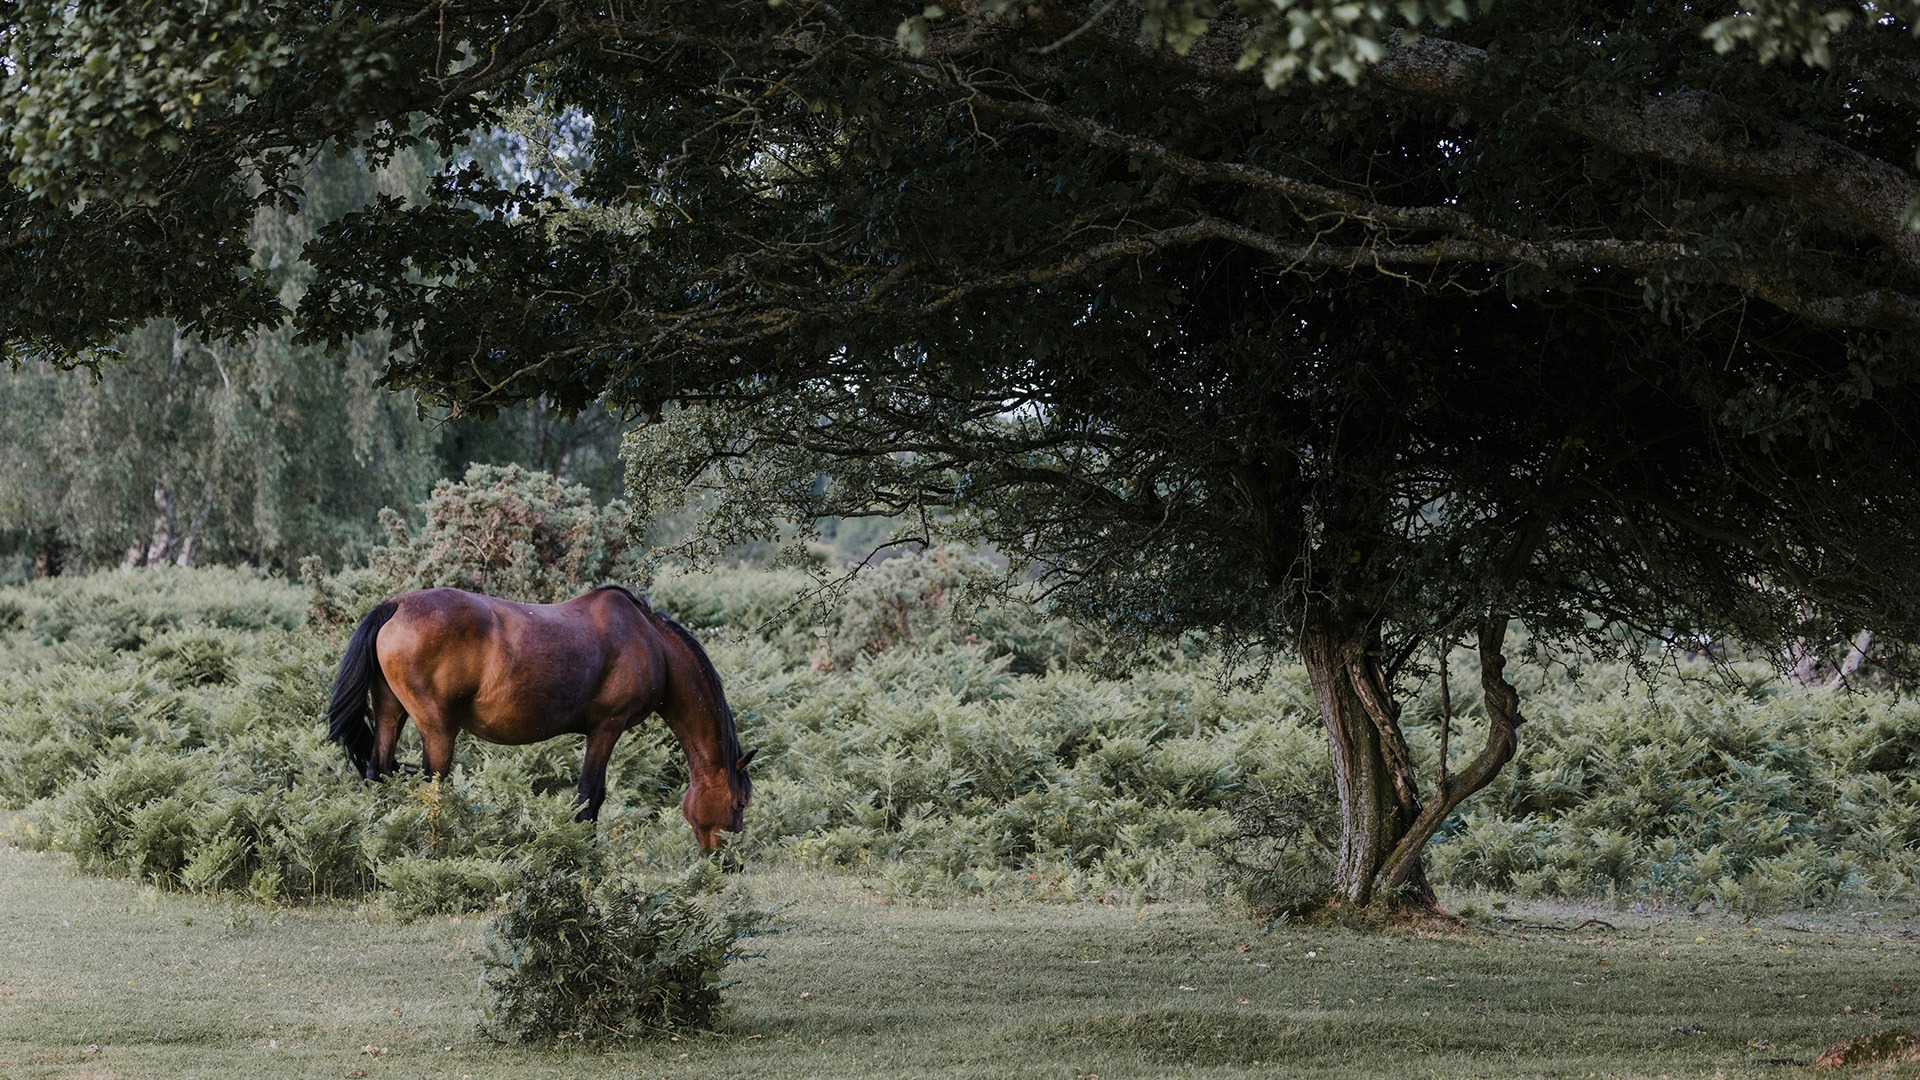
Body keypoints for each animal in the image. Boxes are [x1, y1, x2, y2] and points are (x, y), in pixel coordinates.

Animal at [324, 584, 752, 850]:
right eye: (740, 803)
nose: (730, 862)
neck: (651, 642)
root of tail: (395, 605)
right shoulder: (606, 727)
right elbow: (589, 796)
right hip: (438, 730)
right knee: (431, 789)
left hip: (390, 714)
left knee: (378, 774)